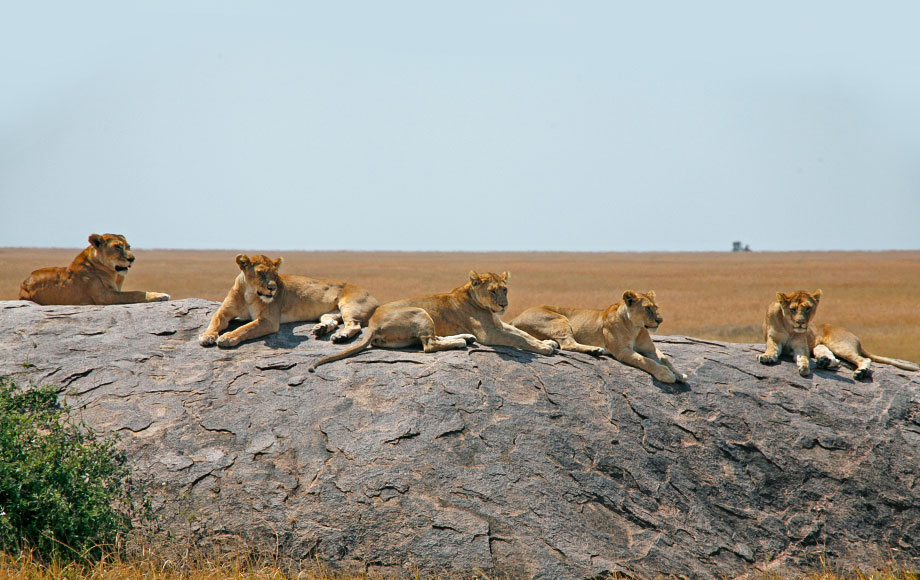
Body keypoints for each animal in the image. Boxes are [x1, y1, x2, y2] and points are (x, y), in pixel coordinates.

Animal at [18, 233, 171, 306]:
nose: (132, 259)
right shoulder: (104, 296)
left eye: (129, 246)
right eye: (117, 247)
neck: (113, 274)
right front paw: (160, 295)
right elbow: (135, 293)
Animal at [198, 255, 378, 348]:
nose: (272, 288)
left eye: (275, 274)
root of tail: (374, 298)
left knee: (354, 325)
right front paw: (207, 336)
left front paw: (227, 338)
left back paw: (341, 336)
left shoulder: (269, 320)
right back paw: (321, 329)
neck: (249, 293)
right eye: (261, 273)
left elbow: (245, 328)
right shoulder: (225, 310)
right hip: (329, 313)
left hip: (349, 305)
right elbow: (214, 320)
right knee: (332, 321)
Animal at [306, 270, 556, 372]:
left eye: (505, 290)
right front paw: (544, 348)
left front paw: (548, 342)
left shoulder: (498, 324)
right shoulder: (490, 333)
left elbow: (522, 334)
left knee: (431, 340)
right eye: (493, 291)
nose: (503, 305)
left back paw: (465, 338)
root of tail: (372, 324)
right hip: (420, 312)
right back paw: (461, 342)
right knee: (429, 345)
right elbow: (520, 339)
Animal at [760, 288, 916, 378]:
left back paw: (860, 372)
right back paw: (823, 362)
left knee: (863, 359)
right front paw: (767, 357)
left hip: (839, 345)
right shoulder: (773, 339)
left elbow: (803, 357)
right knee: (835, 360)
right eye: (793, 309)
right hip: (821, 346)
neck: (789, 326)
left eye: (808, 308)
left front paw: (804, 366)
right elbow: (772, 348)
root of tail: (855, 337)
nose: (800, 322)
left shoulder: (800, 346)